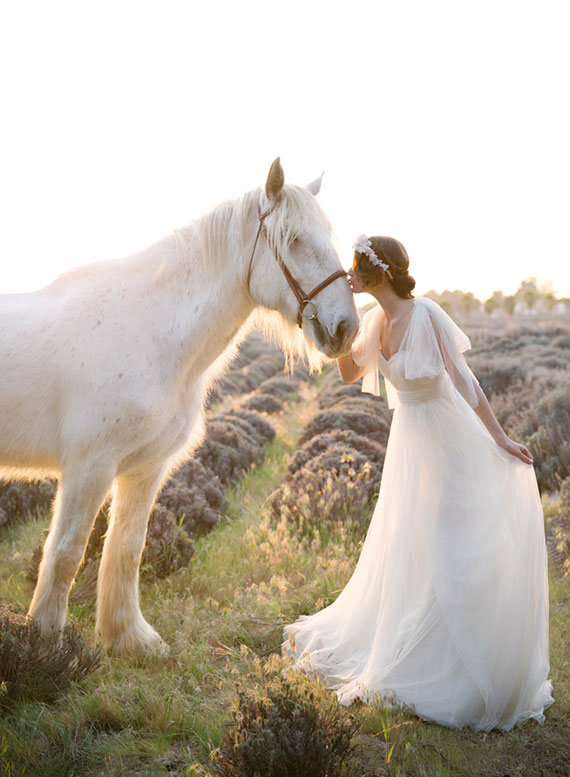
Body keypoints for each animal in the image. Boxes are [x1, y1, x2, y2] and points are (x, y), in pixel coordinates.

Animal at [0, 158, 356, 656]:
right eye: (294, 240)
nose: (346, 327)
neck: (151, 331)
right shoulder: (89, 466)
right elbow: (67, 552)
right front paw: (46, 647)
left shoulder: (145, 468)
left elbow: (127, 548)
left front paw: (129, 640)